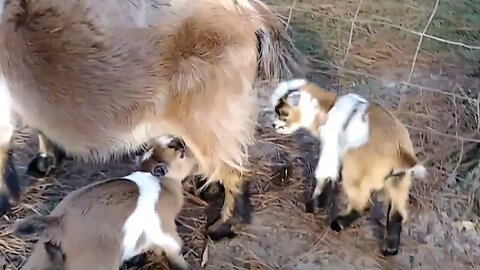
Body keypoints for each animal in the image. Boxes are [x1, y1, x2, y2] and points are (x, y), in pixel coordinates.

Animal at [15, 137, 195, 270]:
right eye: (181, 154)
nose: (183, 142)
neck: (162, 183)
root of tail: (58, 222)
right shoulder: (163, 227)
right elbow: (174, 249)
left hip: (41, 256)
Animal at [272, 79, 426, 256]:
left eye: (282, 112)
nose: (273, 124)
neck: (328, 107)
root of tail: (399, 149)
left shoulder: (330, 146)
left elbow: (325, 174)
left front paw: (314, 207)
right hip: (399, 181)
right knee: (397, 213)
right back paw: (390, 248)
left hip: (355, 169)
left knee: (361, 205)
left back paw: (338, 224)